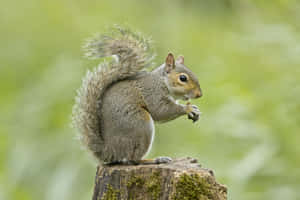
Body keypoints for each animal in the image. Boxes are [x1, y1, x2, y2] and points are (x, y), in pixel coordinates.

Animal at [72, 25, 203, 165]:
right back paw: (155, 159)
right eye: (183, 78)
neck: (161, 81)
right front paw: (188, 108)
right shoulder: (152, 93)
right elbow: (161, 111)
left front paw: (195, 110)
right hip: (141, 125)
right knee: (133, 159)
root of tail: (110, 152)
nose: (199, 94)